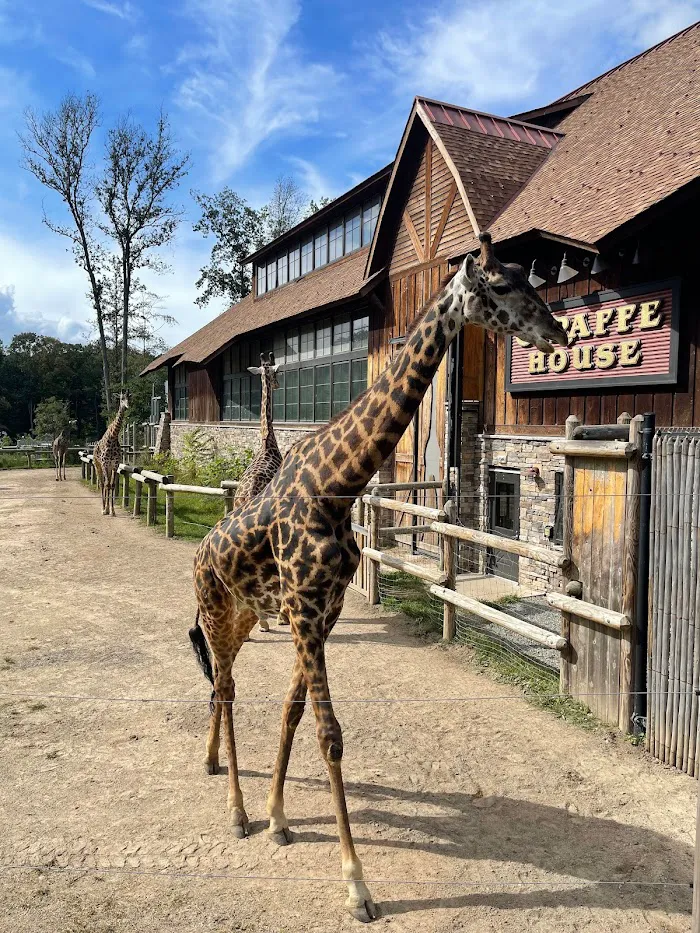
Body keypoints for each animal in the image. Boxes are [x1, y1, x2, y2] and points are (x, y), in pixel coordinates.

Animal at [93, 388, 130, 516]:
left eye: (129, 397)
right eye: (121, 398)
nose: (127, 406)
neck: (113, 438)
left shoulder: (114, 465)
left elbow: (112, 485)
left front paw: (112, 510)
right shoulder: (104, 464)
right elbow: (107, 484)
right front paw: (105, 509)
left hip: (108, 468)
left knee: (106, 483)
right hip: (98, 465)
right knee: (102, 483)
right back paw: (103, 507)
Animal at [187, 235, 568, 924]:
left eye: (528, 277)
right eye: (501, 285)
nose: (556, 332)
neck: (338, 485)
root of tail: (198, 554)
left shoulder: (322, 611)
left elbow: (293, 711)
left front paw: (281, 819)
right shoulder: (305, 608)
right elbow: (330, 734)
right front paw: (356, 884)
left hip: (249, 613)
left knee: (219, 690)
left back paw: (219, 776)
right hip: (216, 609)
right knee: (224, 688)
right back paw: (234, 812)